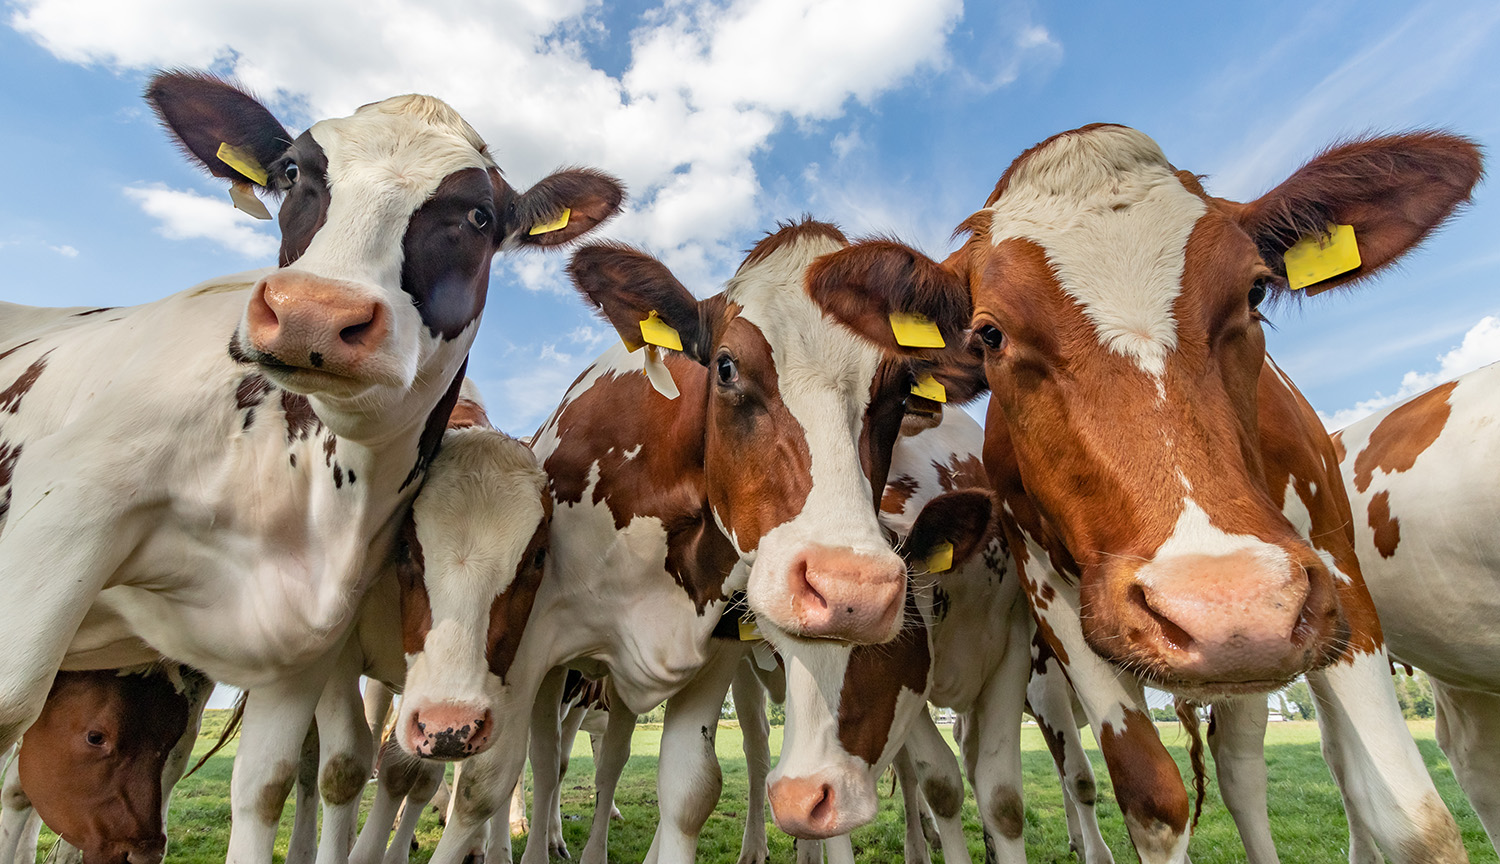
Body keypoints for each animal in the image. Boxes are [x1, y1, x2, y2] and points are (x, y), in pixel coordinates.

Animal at [0, 67, 624, 864]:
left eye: (480, 215)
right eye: (294, 172)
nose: (313, 312)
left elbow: (323, 776)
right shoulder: (66, 526)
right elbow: (343, 765)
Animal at [804, 123, 1482, 864]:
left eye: (1255, 293)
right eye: (990, 333)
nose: (1227, 606)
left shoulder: (1332, 567)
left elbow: (1414, 821)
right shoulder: (1054, 599)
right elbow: (1152, 799)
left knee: (1244, 770)